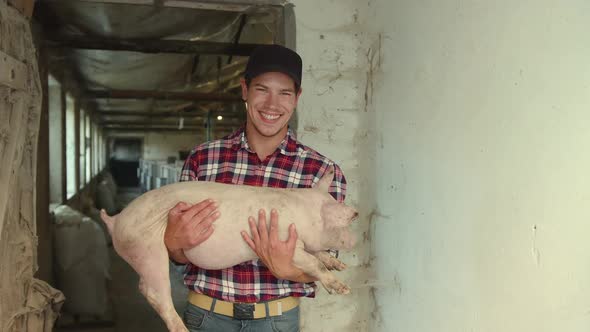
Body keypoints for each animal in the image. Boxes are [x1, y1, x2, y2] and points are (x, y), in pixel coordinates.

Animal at [100, 167, 356, 332]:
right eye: (345, 222)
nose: (353, 241)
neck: (306, 215)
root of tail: (116, 219)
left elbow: (319, 255)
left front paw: (339, 265)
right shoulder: (286, 243)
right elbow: (313, 262)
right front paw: (343, 289)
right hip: (146, 247)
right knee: (154, 292)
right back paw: (181, 329)